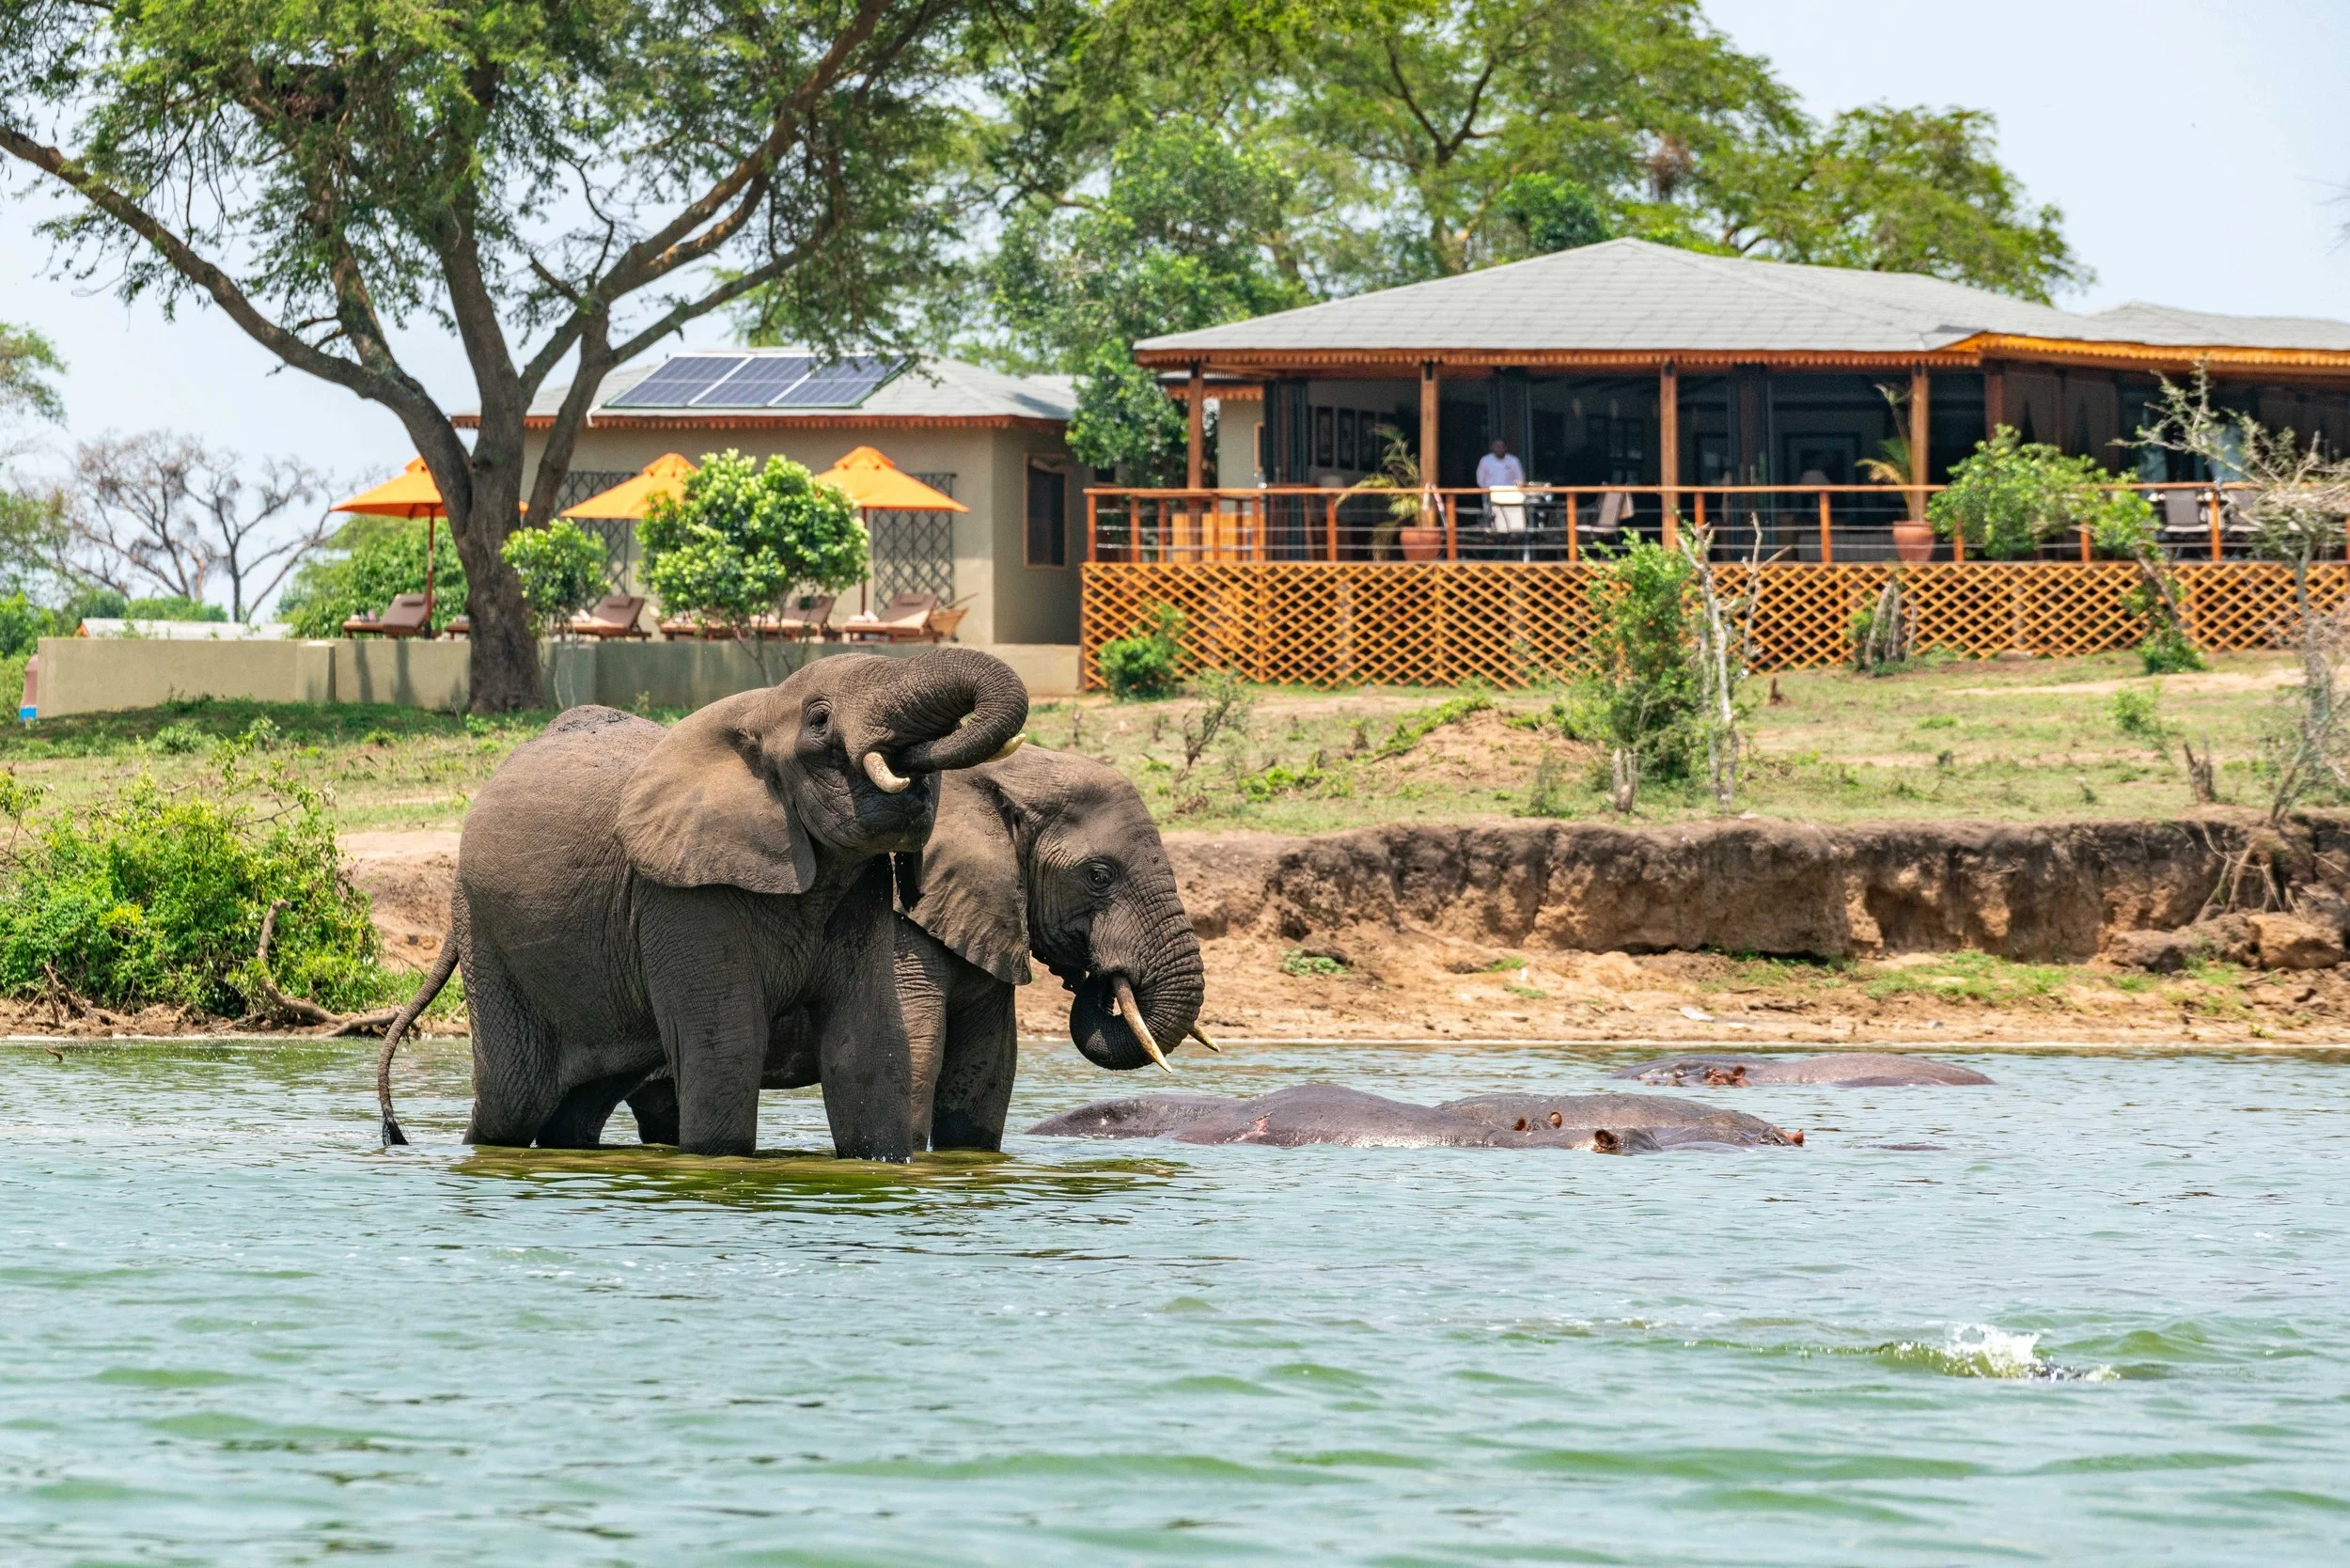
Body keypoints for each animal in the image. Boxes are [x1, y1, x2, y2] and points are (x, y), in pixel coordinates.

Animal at [373, 648, 1030, 1160]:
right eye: (820, 720)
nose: (914, 755)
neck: (757, 711)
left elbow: (867, 1047)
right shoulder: (681, 897)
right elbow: (726, 1049)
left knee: (576, 1104)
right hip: (489, 935)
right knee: (512, 1100)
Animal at [613, 745, 1209, 1152]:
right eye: (1099, 875)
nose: (1098, 975)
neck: (1000, 778)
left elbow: (986, 1084)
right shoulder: (903, 937)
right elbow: (919, 1064)